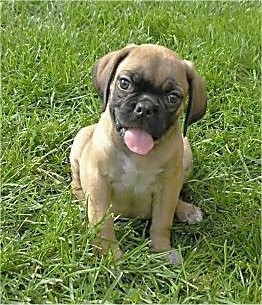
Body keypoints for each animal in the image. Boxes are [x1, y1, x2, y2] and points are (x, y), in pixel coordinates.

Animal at [69, 43, 207, 264]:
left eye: (173, 97)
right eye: (124, 83)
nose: (145, 107)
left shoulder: (168, 187)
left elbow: (162, 222)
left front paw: (162, 251)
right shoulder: (98, 181)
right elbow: (102, 222)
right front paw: (110, 255)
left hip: (186, 154)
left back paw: (185, 209)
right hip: (81, 140)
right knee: (76, 183)